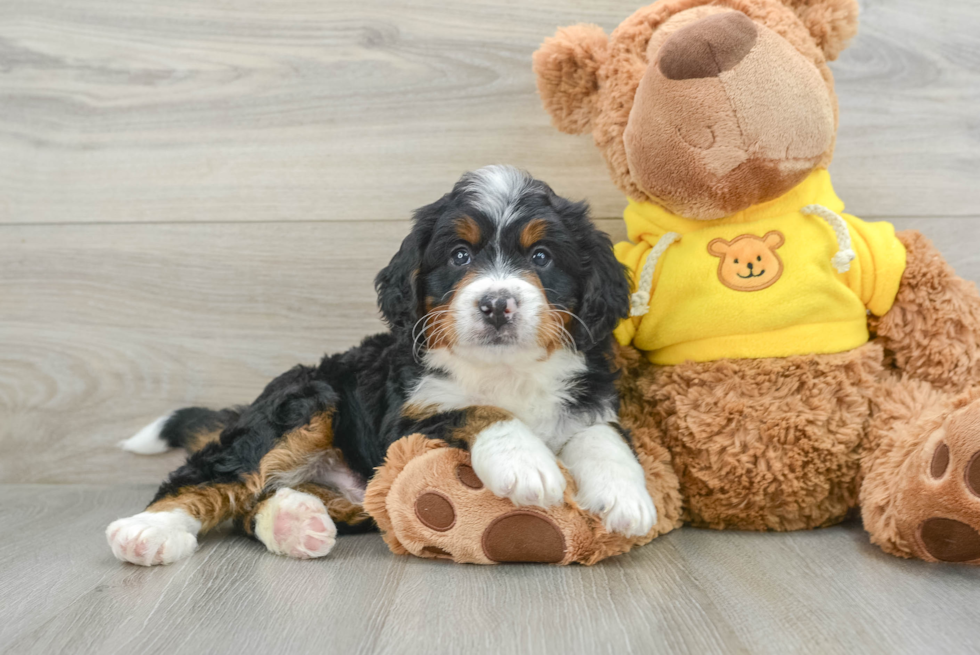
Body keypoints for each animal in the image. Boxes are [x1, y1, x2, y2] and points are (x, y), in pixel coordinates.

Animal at [107, 167, 660, 568]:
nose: (496, 304)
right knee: (215, 476)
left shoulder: (590, 396)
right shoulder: (405, 420)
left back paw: (293, 522)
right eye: (459, 256)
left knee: (257, 503)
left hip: (356, 486)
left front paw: (625, 497)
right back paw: (149, 530)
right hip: (307, 399)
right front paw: (525, 462)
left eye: (541, 257)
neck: (505, 368)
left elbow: (602, 435)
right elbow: (480, 411)